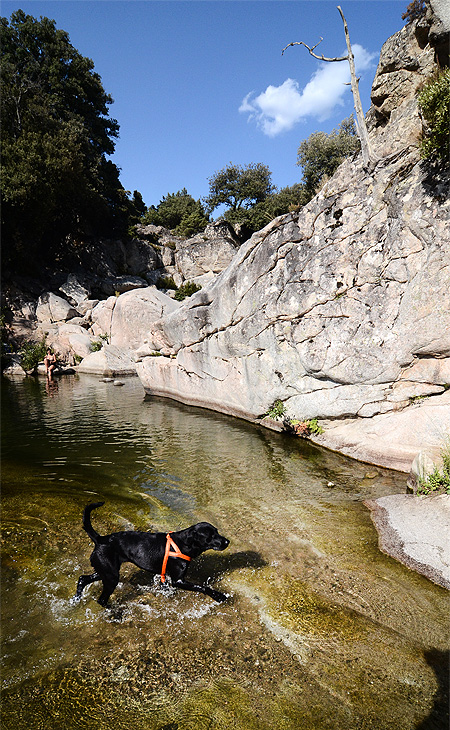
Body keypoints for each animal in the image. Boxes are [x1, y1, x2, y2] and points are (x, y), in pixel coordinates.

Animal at [75, 500, 230, 604]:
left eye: (217, 532)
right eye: (210, 537)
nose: (227, 541)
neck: (182, 544)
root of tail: (101, 539)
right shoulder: (178, 580)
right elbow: (202, 587)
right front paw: (218, 595)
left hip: (106, 571)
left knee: (83, 579)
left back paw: (76, 598)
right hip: (111, 576)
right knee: (101, 600)